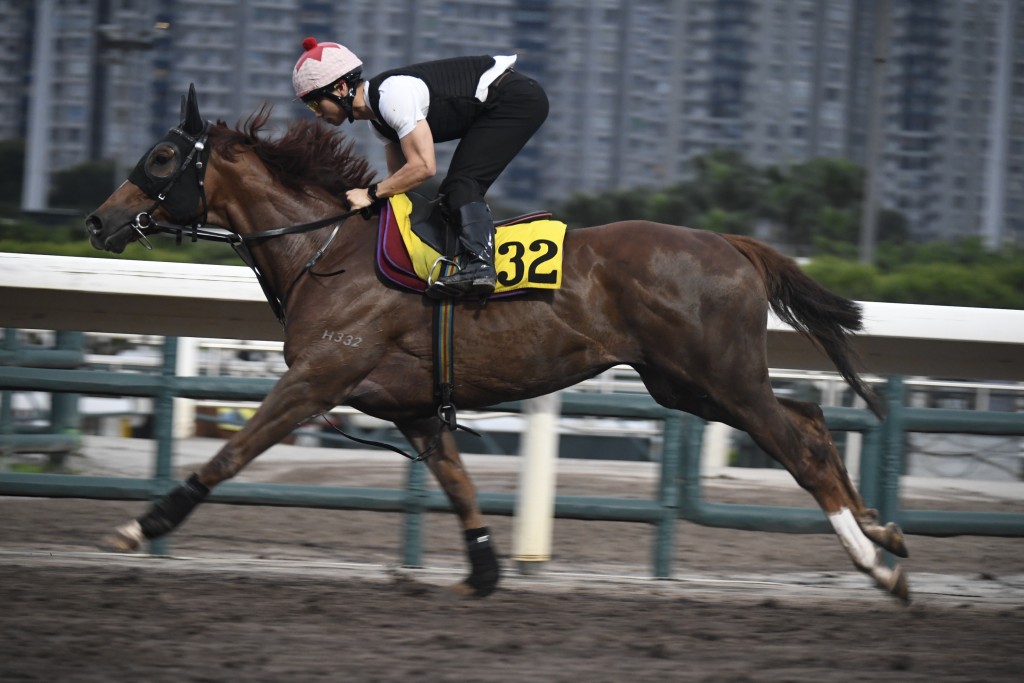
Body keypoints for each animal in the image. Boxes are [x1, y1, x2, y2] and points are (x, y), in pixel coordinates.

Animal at [83, 87, 909, 602]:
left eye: (162, 157)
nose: (97, 221)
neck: (326, 247)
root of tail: (734, 244)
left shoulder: (319, 378)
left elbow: (232, 451)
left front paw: (139, 525)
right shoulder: (413, 406)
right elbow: (458, 483)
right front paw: (481, 572)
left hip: (718, 375)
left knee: (799, 447)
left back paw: (874, 562)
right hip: (687, 382)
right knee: (810, 419)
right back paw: (883, 530)